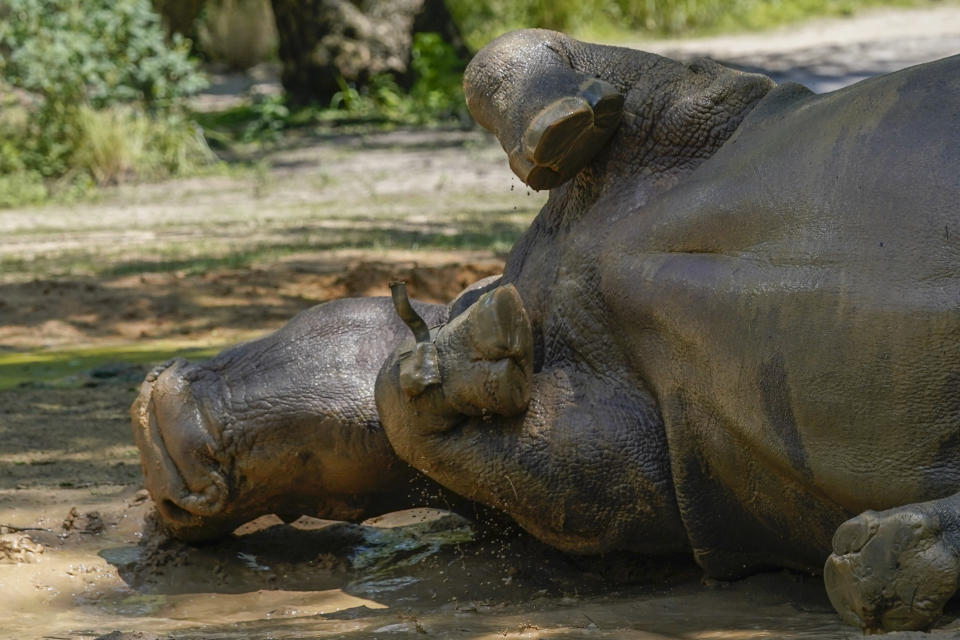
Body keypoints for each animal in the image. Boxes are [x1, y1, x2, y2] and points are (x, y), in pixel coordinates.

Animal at [133, 31, 960, 636]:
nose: (156, 460)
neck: (541, 295)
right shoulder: (641, 471)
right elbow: (462, 438)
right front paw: (460, 363)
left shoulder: (694, 104)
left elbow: (504, 53)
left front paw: (559, 130)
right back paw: (879, 563)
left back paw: (882, 563)